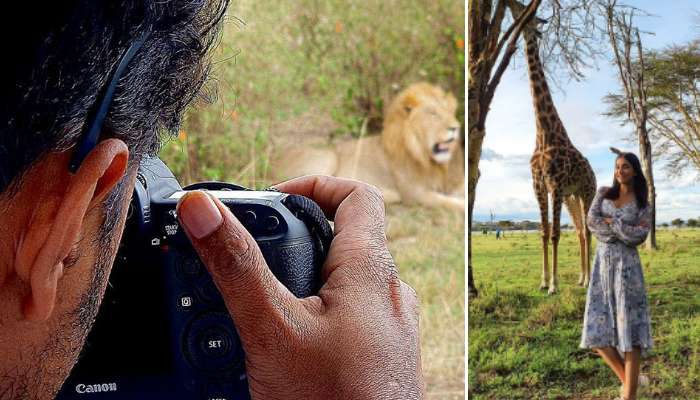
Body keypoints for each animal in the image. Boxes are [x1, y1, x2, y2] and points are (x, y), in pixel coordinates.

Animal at [274, 82, 464, 212]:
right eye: (433, 114)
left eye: (450, 112)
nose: (456, 127)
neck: (426, 158)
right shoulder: (414, 193)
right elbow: (450, 203)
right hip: (327, 157)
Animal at [508, 0, 596, 294]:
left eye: (532, 16)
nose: (515, 11)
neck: (544, 133)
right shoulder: (538, 185)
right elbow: (544, 232)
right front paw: (544, 280)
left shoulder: (555, 184)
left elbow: (556, 233)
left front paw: (554, 285)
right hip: (571, 198)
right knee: (580, 231)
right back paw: (581, 277)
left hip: (585, 192)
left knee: (587, 231)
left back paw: (588, 280)